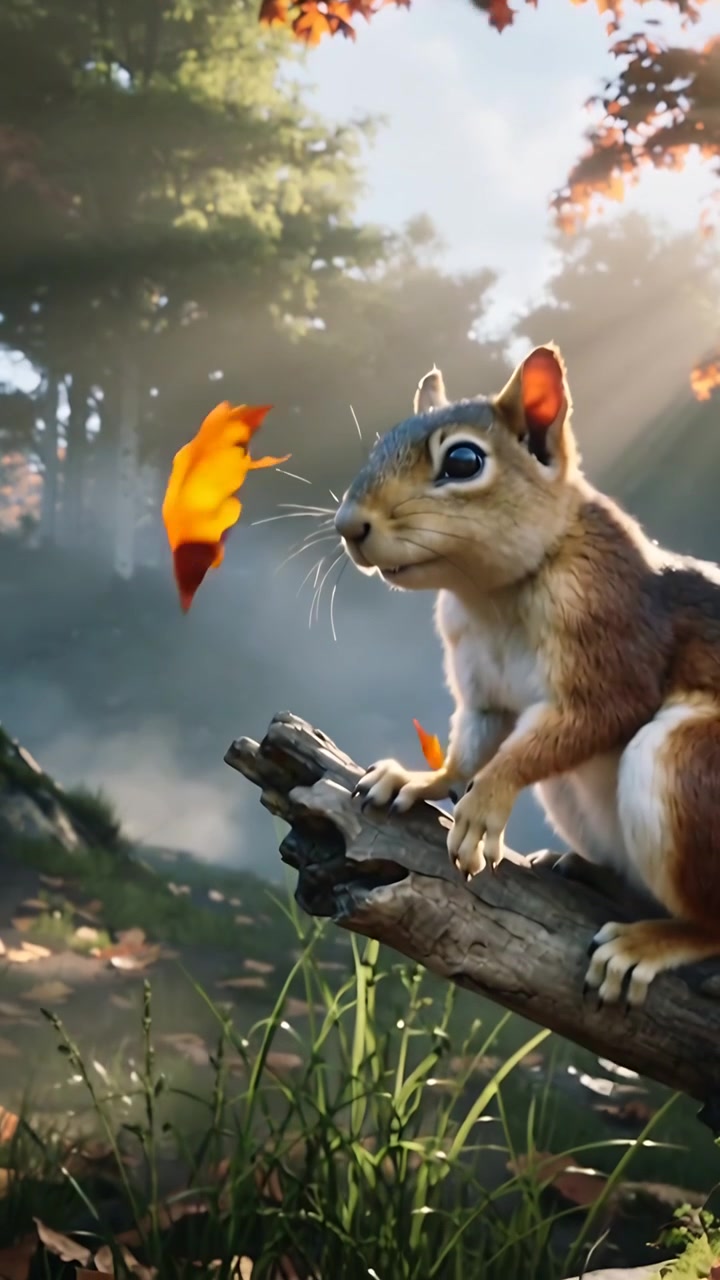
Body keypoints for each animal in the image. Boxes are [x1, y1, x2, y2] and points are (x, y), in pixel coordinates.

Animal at [333, 343, 720, 1010]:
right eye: (381, 442)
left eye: (463, 461)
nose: (347, 525)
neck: (492, 592)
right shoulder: (484, 690)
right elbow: (472, 746)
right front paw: (420, 779)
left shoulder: (613, 642)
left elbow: (590, 719)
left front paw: (484, 805)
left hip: (687, 764)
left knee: (712, 924)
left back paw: (649, 942)